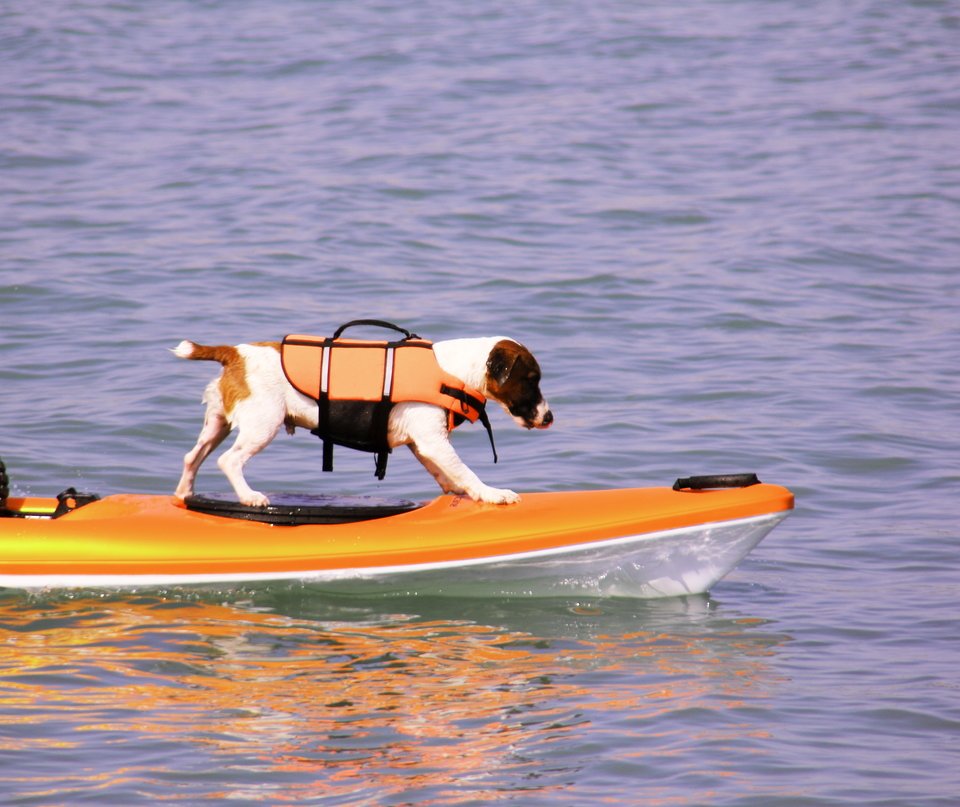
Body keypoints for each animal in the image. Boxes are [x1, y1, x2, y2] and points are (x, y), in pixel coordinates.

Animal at [171, 338, 548, 508]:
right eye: (531, 379)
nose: (549, 417)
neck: (451, 370)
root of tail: (235, 352)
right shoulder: (434, 442)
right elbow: (465, 470)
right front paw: (491, 493)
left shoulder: (423, 445)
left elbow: (445, 473)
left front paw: (457, 491)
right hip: (262, 425)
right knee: (229, 460)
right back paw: (249, 496)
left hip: (217, 424)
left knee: (192, 457)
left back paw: (185, 492)